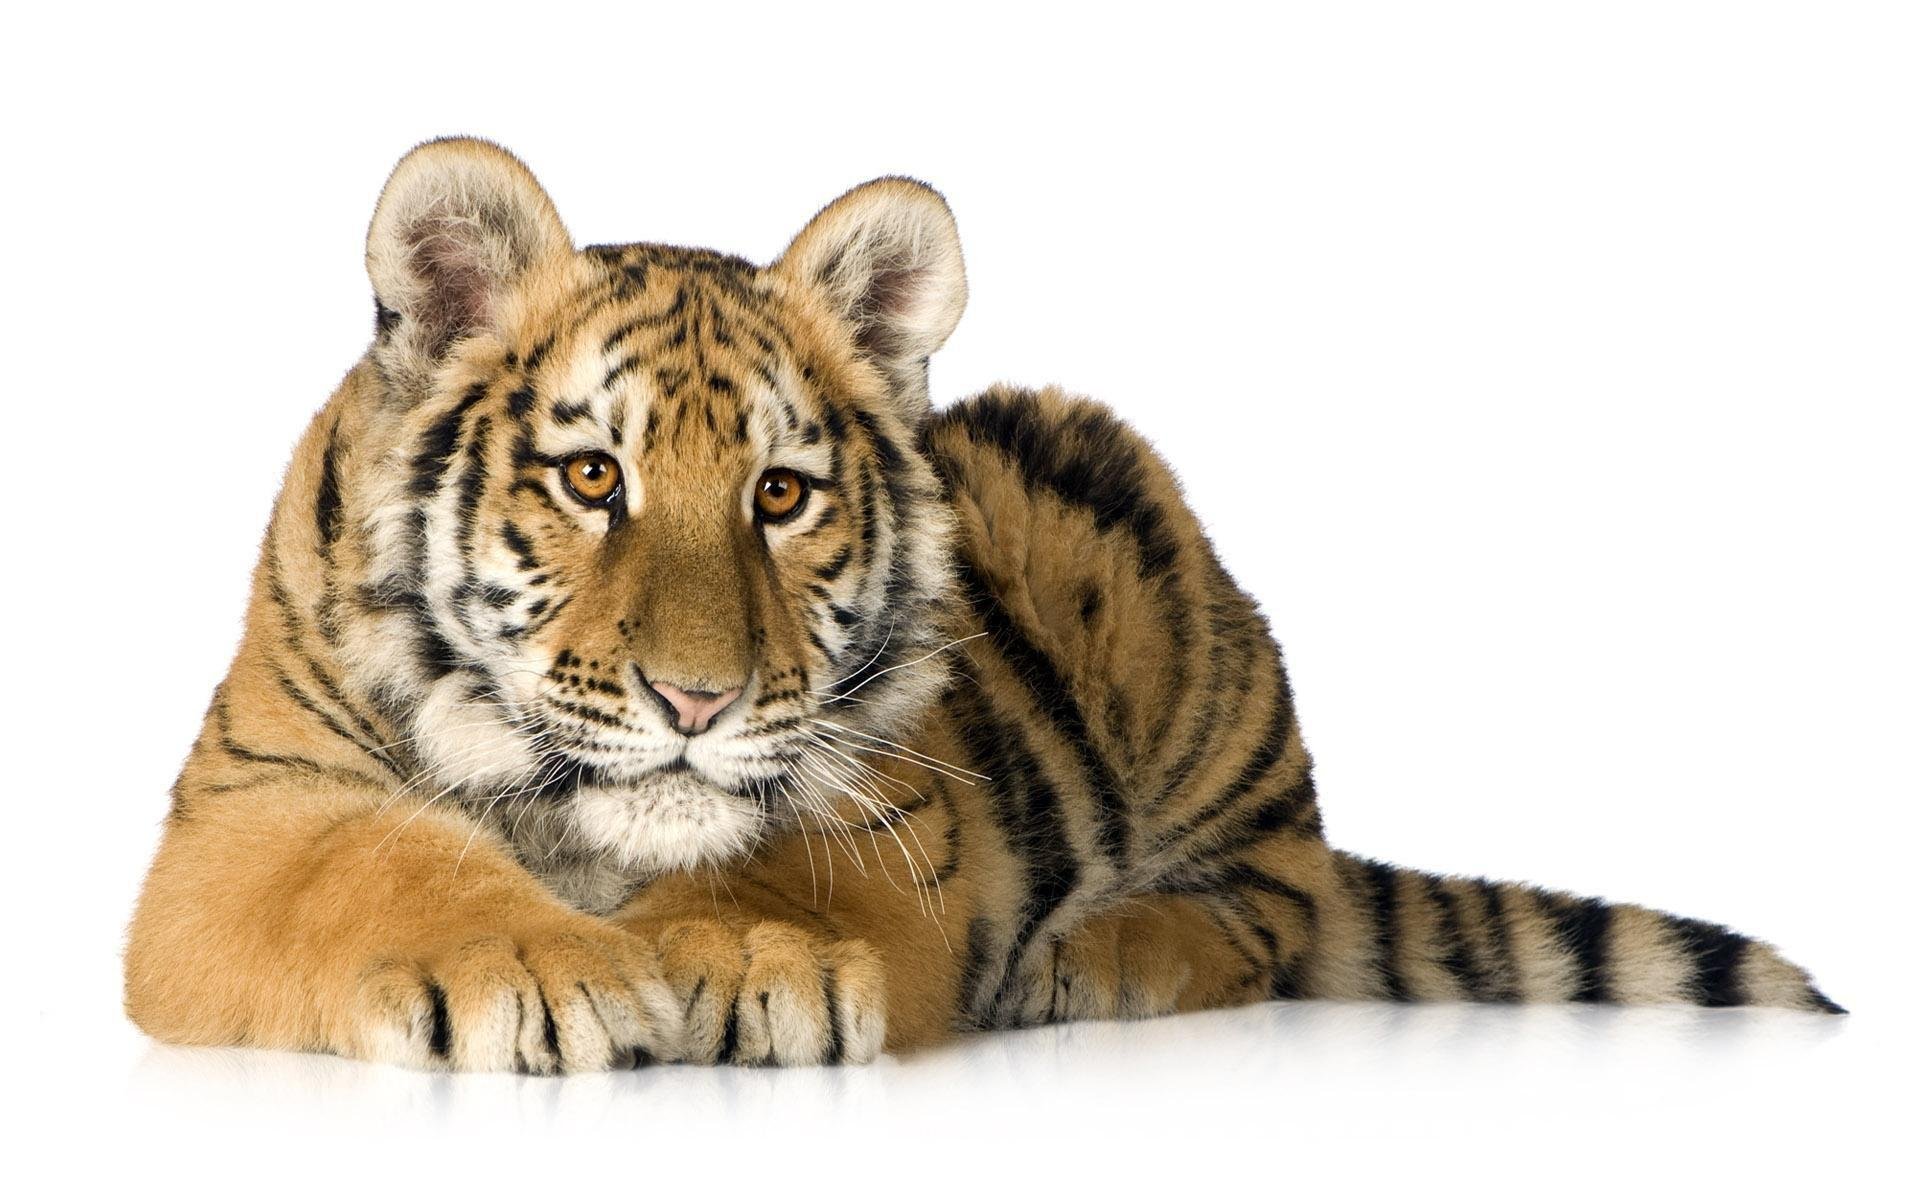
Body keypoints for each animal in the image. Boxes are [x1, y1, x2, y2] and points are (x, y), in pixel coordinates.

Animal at [123, 137, 1841, 1072]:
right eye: (593, 478)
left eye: (781, 496)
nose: (697, 701)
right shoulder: (244, 818)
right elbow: (375, 866)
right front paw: (539, 969)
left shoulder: (904, 804)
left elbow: (787, 864)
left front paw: (738, 959)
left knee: (1278, 901)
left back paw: (1103, 954)